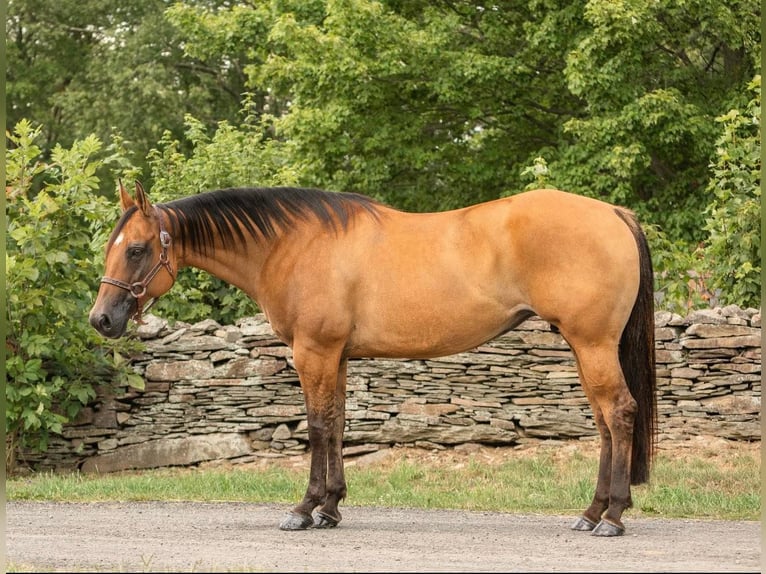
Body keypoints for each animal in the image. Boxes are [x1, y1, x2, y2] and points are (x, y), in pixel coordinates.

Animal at [87, 182, 656, 536]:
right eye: (111, 247)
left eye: (136, 249)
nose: (101, 320)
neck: (293, 245)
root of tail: (614, 214)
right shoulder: (335, 355)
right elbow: (338, 424)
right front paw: (331, 507)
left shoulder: (312, 352)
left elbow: (317, 427)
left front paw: (303, 509)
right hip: (585, 347)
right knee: (605, 423)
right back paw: (592, 512)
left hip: (592, 344)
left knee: (620, 414)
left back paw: (611, 517)